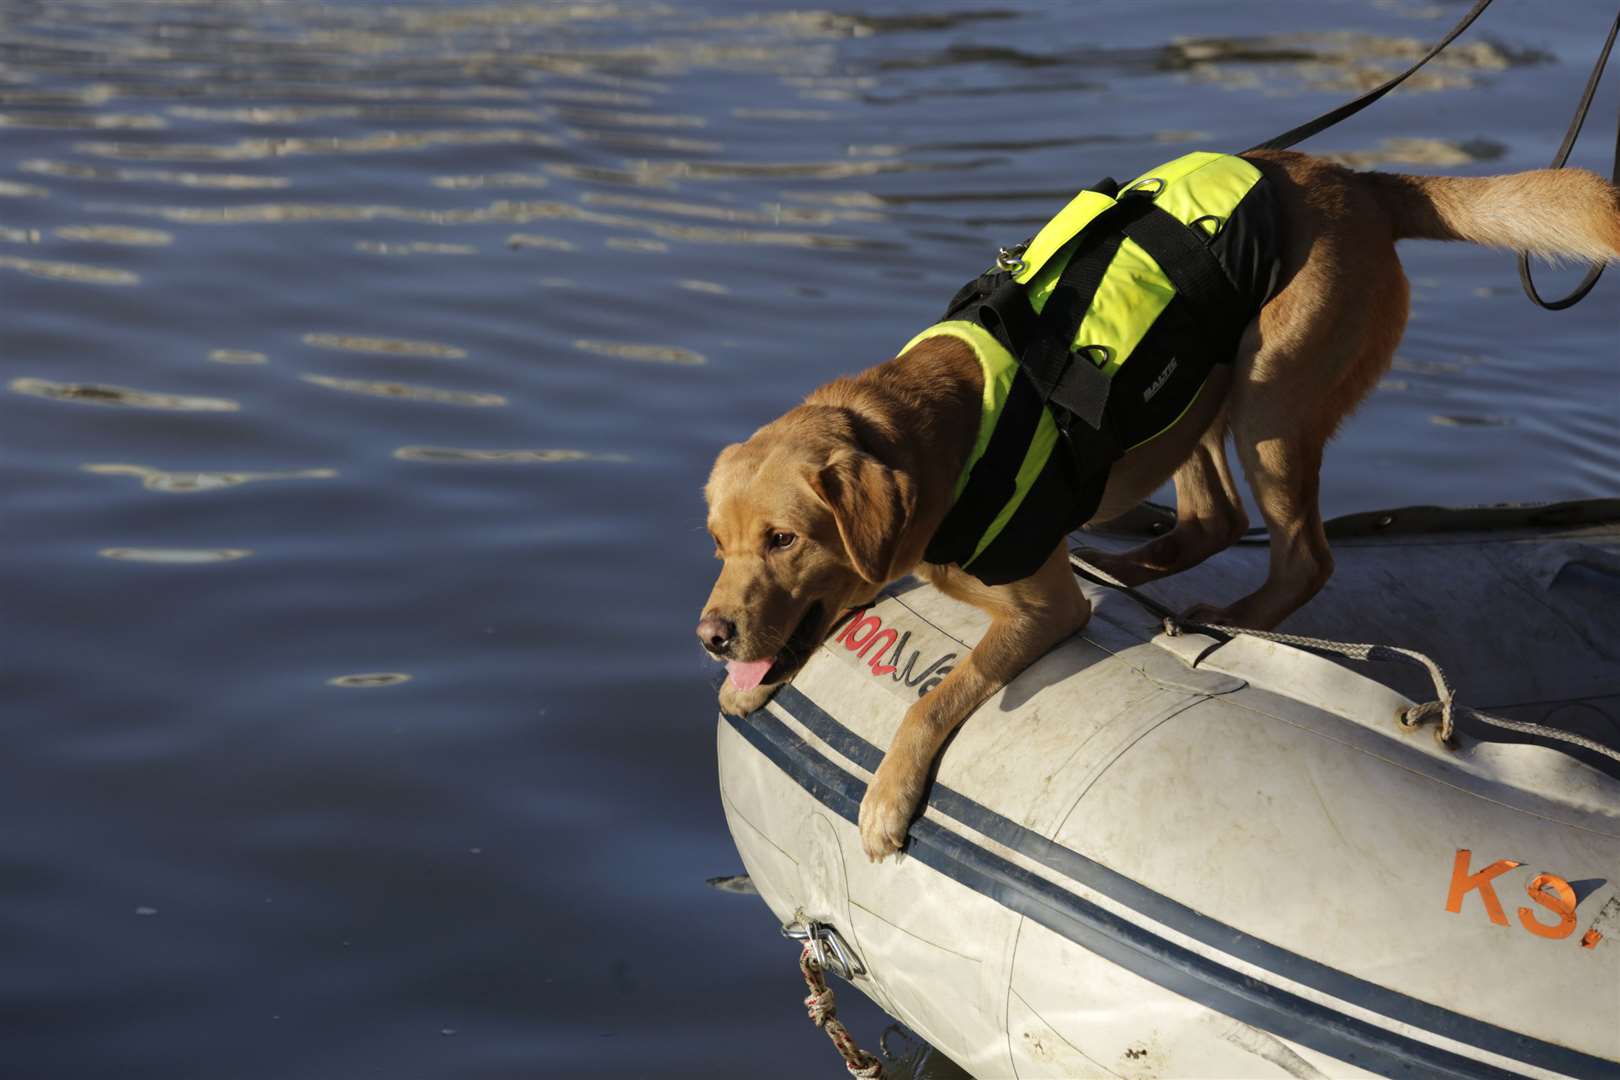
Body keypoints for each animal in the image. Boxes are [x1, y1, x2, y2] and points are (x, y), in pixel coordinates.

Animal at [699, 149, 1620, 861]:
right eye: (719, 544)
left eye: (784, 538)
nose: (711, 637)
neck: (940, 439)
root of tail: (1352, 181)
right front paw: (754, 688)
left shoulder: (1042, 610)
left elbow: (936, 695)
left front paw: (888, 800)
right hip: (1198, 398)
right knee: (1211, 520)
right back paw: (1128, 567)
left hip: (1269, 397)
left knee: (1301, 556)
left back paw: (1225, 620)